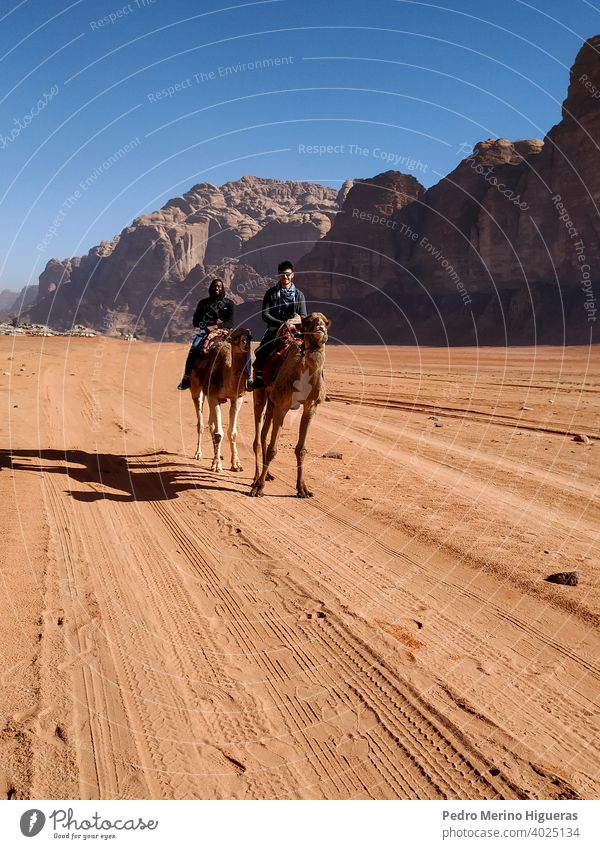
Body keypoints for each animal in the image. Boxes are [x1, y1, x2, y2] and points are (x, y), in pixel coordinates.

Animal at [190, 326, 251, 470]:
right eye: (235, 337)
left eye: (250, 336)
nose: (245, 343)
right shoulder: (213, 395)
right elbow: (218, 433)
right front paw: (216, 465)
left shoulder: (237, 398)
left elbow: (232, 433)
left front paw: (236, 464)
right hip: (196, 388)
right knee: (201, 423)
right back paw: (198, 454)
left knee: (210, 424)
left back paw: (218, 454)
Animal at [250, 312, 330, 496]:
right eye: (309, 321)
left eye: (326, 322)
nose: (320, 327)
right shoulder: (282, 405)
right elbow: (273, 449)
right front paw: (259, 487)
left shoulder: (310, 405)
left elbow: (301, 449)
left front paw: (302, 489)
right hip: (261, 394)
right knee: (257, 437)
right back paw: (256, 479)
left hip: (272, 401)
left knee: (264, 434)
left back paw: (268, 475)